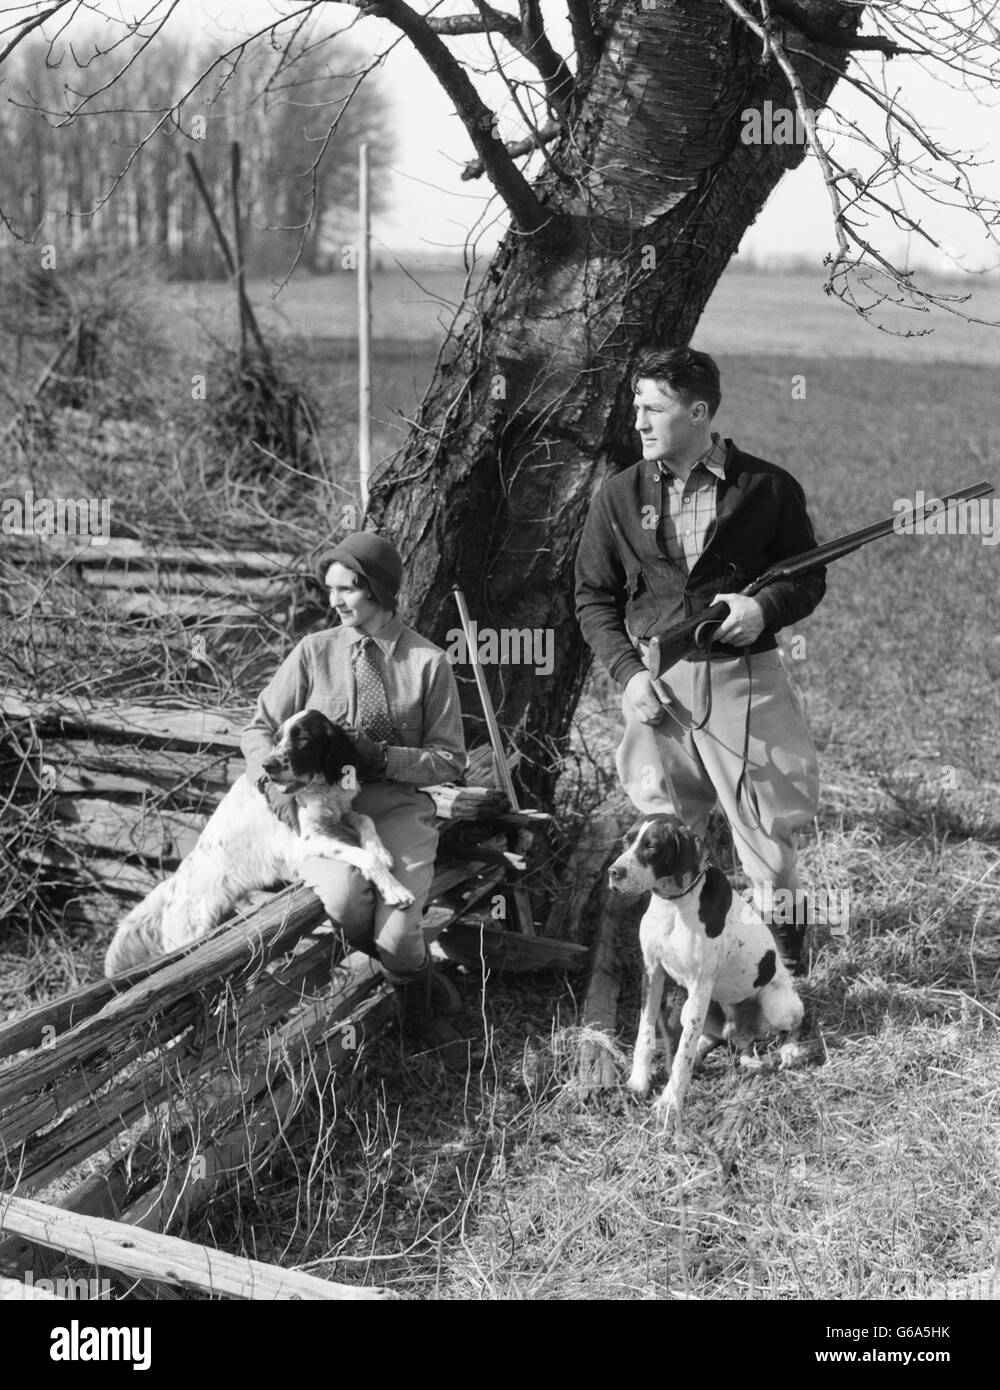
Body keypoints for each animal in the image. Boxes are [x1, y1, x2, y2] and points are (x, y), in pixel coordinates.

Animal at [104, 706, 411, 978]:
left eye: (303, 739)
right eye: (277, 739)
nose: (268, 765)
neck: (319, 785)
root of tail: (172, 885)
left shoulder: (340, 815)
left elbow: (365, 820)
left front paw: (382, 851)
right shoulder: (307, 840)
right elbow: (366, 857)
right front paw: (395, 890)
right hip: (191, 934)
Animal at [603, 811, 806, 1123]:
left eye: (651, 846)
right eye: (627, 840)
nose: (614, 872)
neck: (674, 905)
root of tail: (742, 1032)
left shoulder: (699, 985)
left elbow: (682, 1056)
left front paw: (669, 1101)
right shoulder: (652, 972)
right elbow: (645, 1033)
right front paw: (639, 1081)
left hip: (777, 1005)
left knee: (794, 1025)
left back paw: (790, 1050)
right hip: (691, 1009)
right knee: (709, 1037)